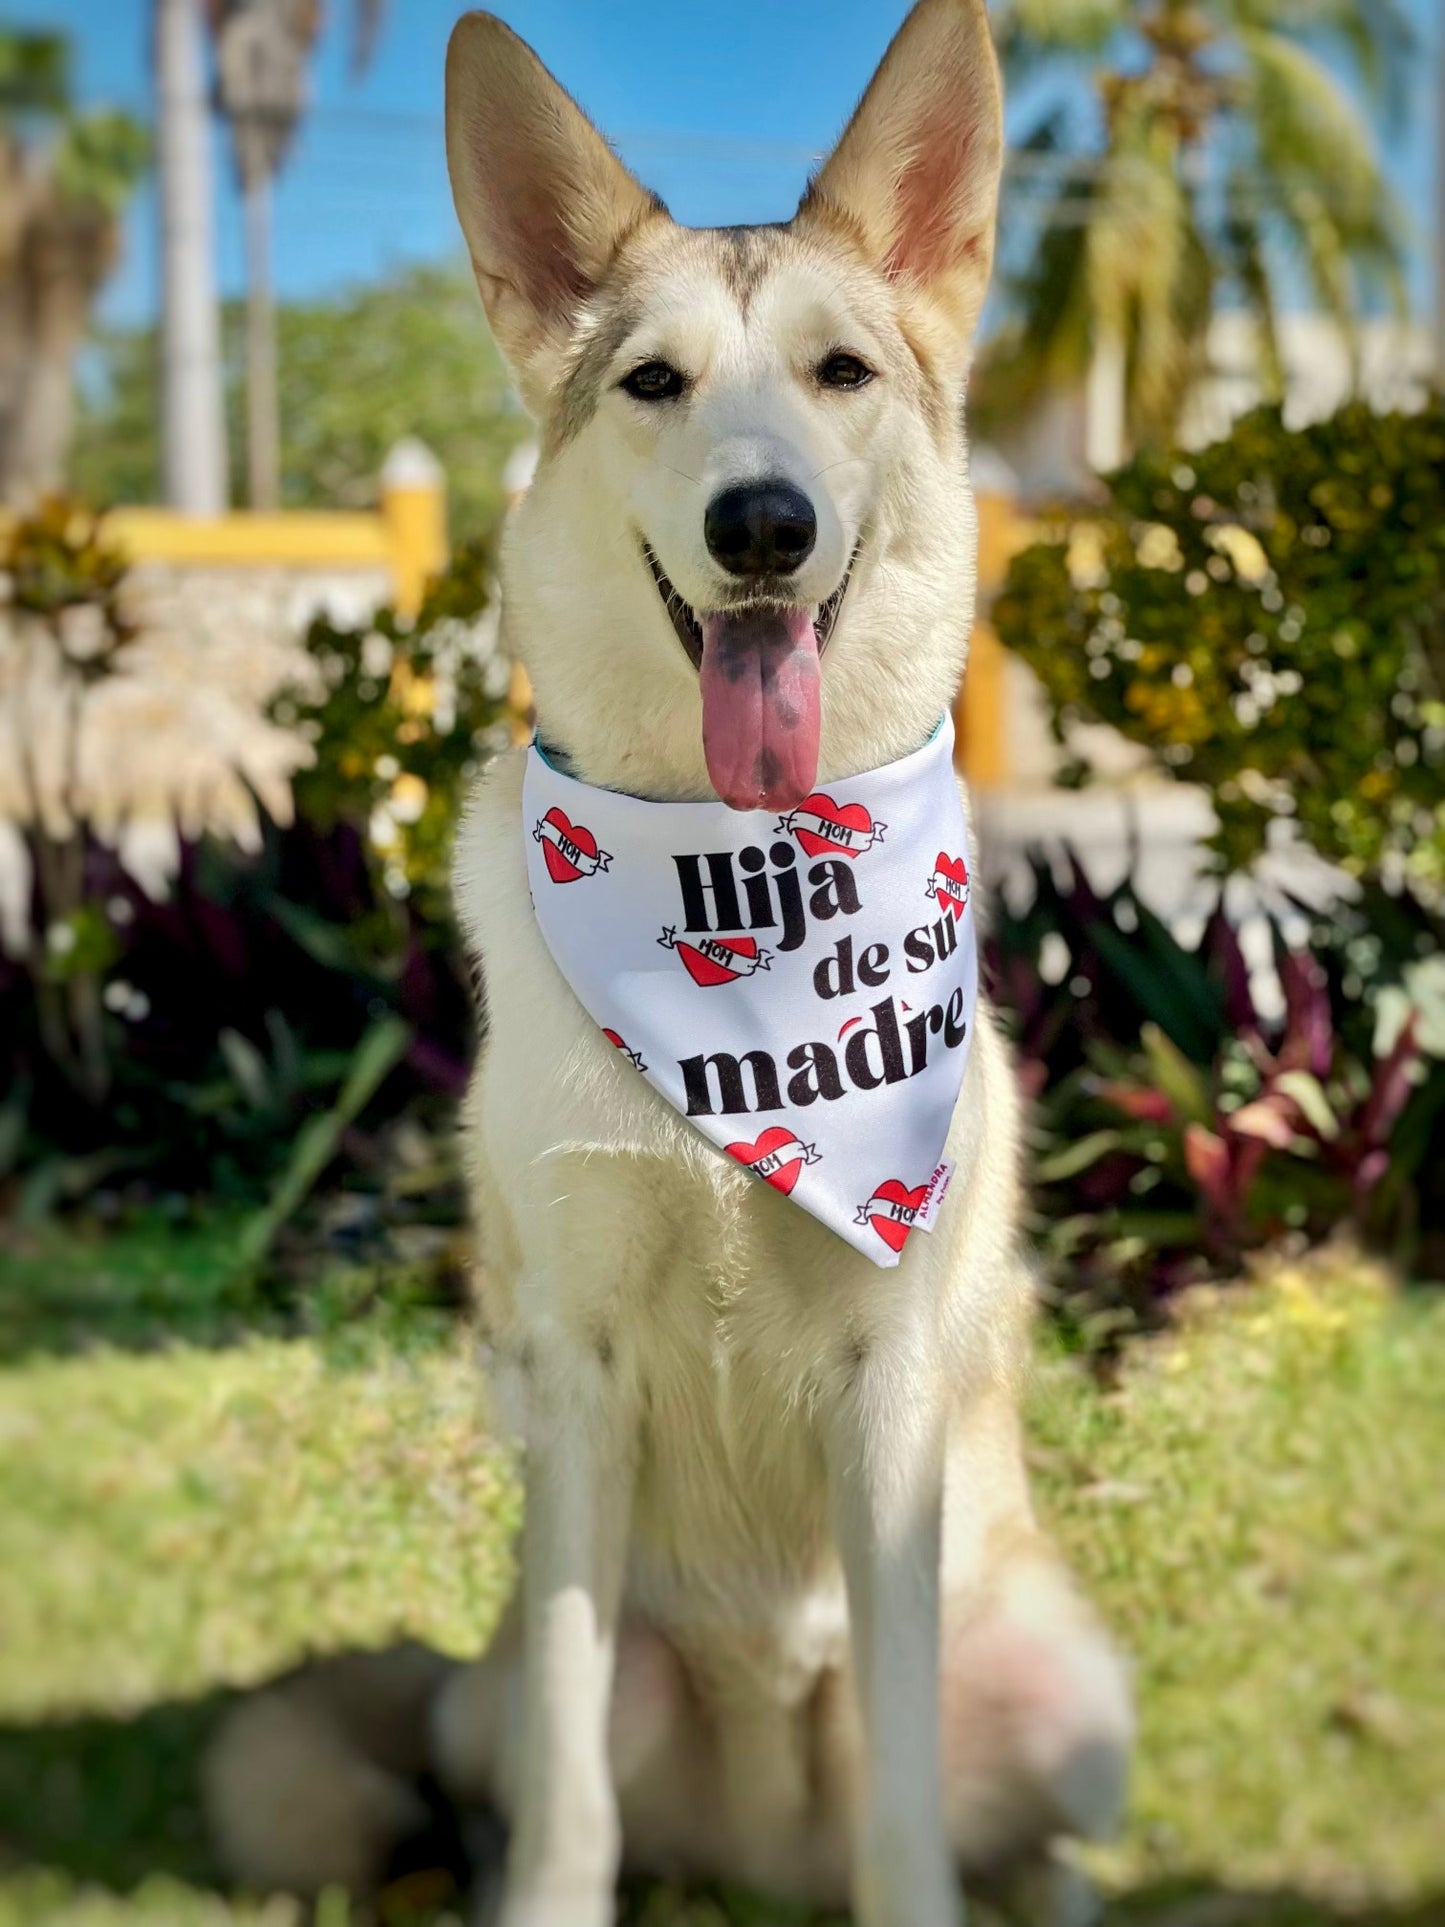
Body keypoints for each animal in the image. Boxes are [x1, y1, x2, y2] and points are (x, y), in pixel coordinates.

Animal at [204, 3, 1132, 1927]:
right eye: (654, 385)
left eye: (841, 374)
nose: (762, 524)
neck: (739, 906)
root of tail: (763, 1853)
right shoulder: (573, 1375)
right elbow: (566, 1799)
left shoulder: (890, 1382)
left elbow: (914, 1806)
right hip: (516, 1682)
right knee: (508, 1781)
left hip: (1073, 1692)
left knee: (1033, 1838)